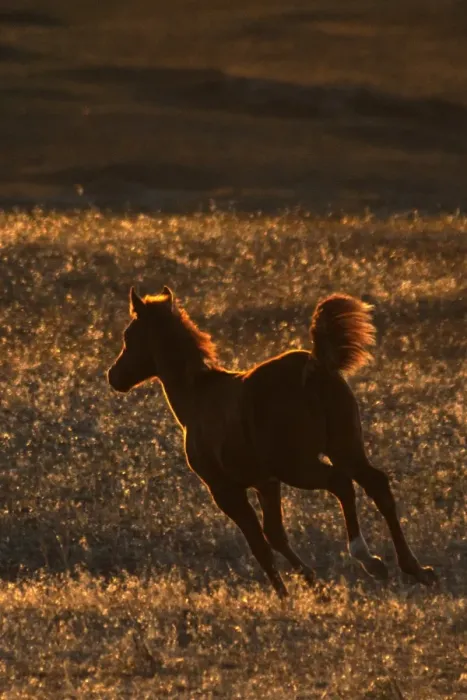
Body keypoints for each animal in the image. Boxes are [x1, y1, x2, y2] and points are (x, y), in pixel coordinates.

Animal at [107, 286, 437, 598]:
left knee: (341, 483)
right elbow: (275, 533)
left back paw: (369, 560)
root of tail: (314, 367)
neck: (197, 397)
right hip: (344, 448)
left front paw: (285, 594)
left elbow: (260, 545)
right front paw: (314, 586)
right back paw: (416, 569)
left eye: (128, 335)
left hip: (298, 466)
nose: (114, 376)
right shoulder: (266, 482)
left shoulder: (224, 489)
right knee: (377, 484)